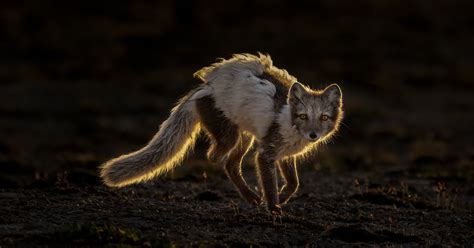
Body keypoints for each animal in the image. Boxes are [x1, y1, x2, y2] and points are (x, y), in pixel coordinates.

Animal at [101, 52, 344, 215]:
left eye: (324, 117)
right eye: (303, 116)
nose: (313, 135)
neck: (289, 121)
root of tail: (206, 86)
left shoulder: (284, 154)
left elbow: (294, 183)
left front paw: (282, 197)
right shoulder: (266, 153)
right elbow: (270, 184)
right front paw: (274, 208)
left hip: (244, 138)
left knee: (230, 165)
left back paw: (251, 197)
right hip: (232, 137)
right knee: (215, 156)